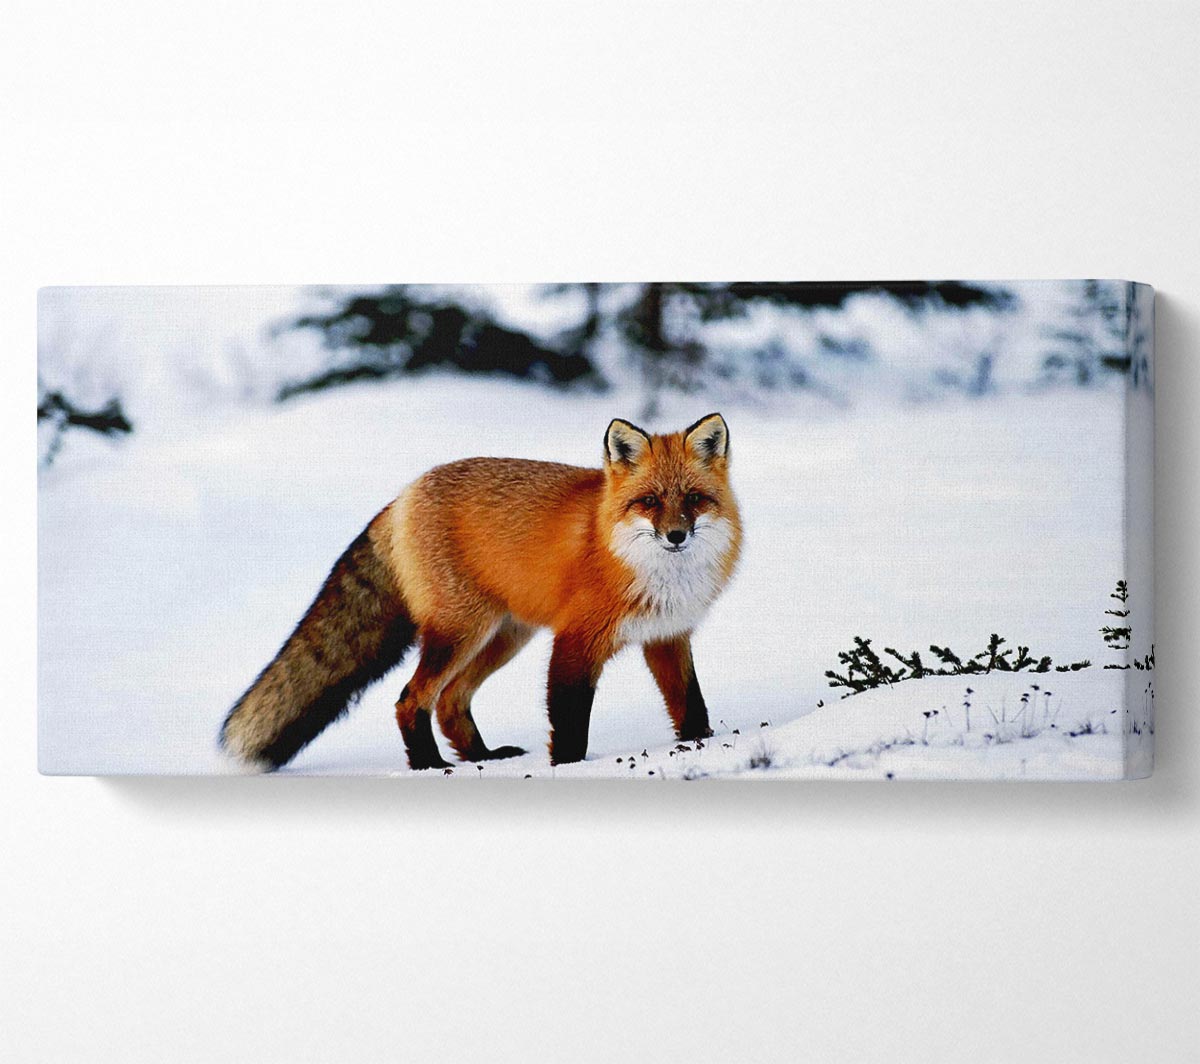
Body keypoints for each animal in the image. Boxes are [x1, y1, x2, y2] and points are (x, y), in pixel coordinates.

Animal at [219, 412, 734, 767]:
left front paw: (702, 745)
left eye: (693, 499)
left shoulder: (667, 636)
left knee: (450, 701)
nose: (676, 536)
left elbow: (691, 703)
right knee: (411, 699)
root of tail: (404, 494)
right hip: (461, 632)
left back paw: (482, 757)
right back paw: (429, 765)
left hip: (503, 636)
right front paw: (569, 767)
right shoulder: (575, 640)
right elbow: (568, 720)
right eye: (648, 502)